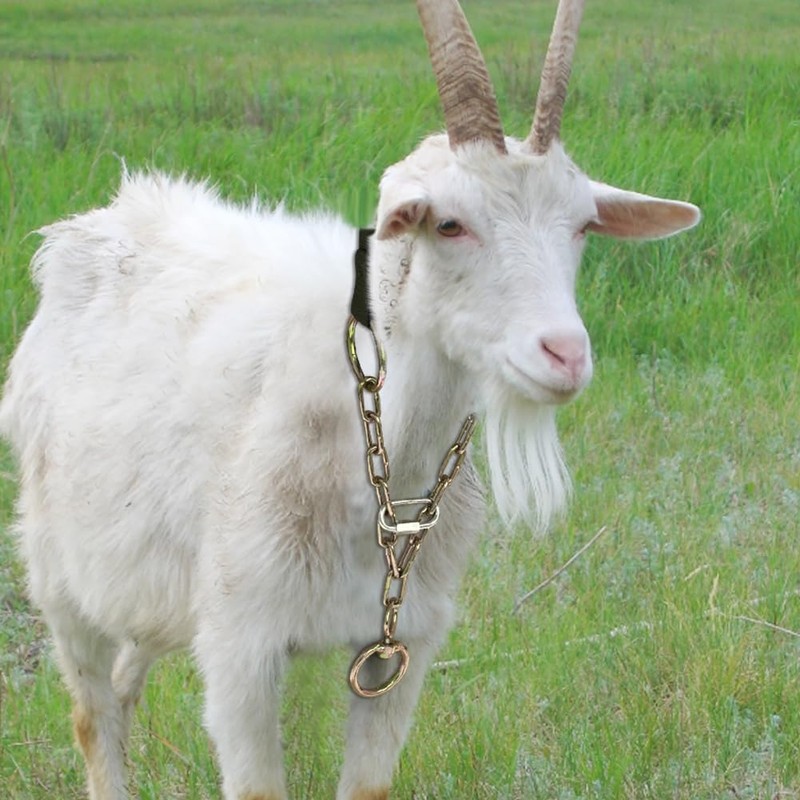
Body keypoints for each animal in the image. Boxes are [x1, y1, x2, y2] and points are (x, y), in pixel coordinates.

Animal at [0, 1, 700, 798]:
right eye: (448, 222)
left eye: (582, 224)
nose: (564, 353)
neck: (374, 457)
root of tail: (96, 222)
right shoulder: (241, 645)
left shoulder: (403, 646)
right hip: (60, 574)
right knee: (95, 715)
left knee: (124, 680)